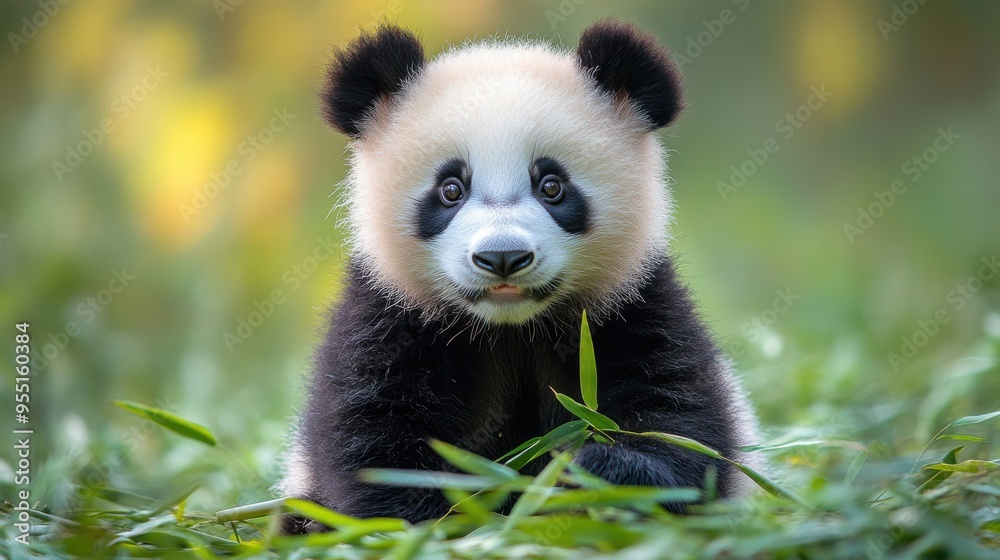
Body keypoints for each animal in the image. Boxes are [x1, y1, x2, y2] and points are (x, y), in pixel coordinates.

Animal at [279, 20, 763, 532]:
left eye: (551, 186)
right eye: (450, 189)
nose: (503, 256)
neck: (510, 329)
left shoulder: (633, 303)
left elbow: (681, 422)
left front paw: (598, 473)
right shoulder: (388, 313)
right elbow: (373, 436)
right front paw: (441, 518)